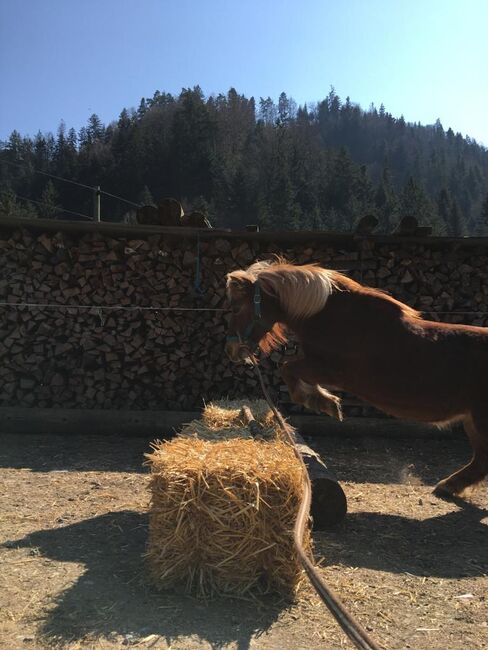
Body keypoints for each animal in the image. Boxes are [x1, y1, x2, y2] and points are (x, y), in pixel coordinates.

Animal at [225, 258, 488, 496]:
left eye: (236, 307)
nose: (232, 350)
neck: (338, 320)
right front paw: (324, 400)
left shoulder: (332, 371)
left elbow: (287, 368)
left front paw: (323, 402)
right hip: (471, 420)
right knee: (480, 462)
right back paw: (448, 486)